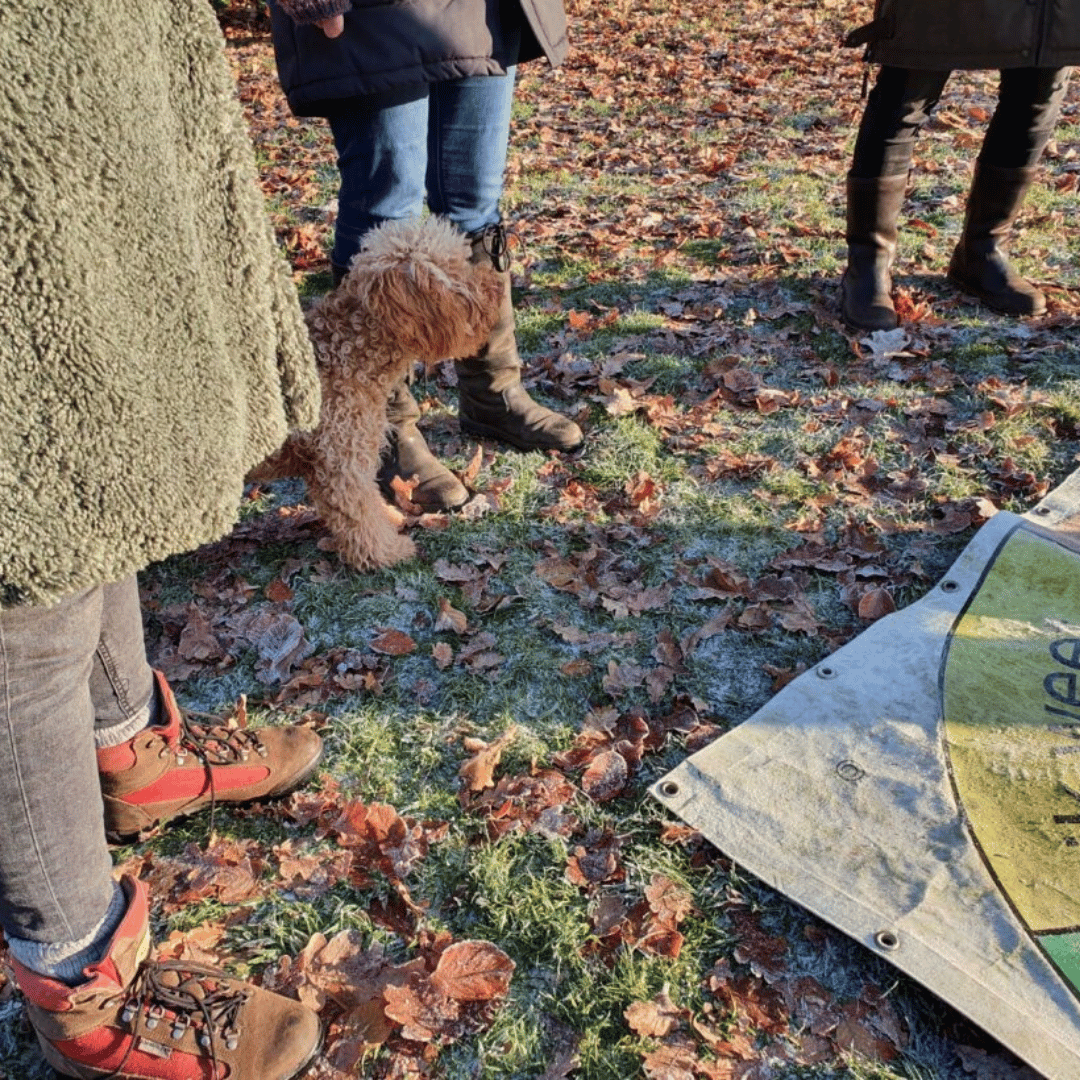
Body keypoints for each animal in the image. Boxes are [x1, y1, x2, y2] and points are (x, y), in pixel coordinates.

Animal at [257, 220, 501, 574]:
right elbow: (360, 515)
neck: (345, 351)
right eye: (454, 269)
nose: (498, 287)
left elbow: (371, 503)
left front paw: (390, 522)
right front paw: (386, 552)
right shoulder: (341, 463)